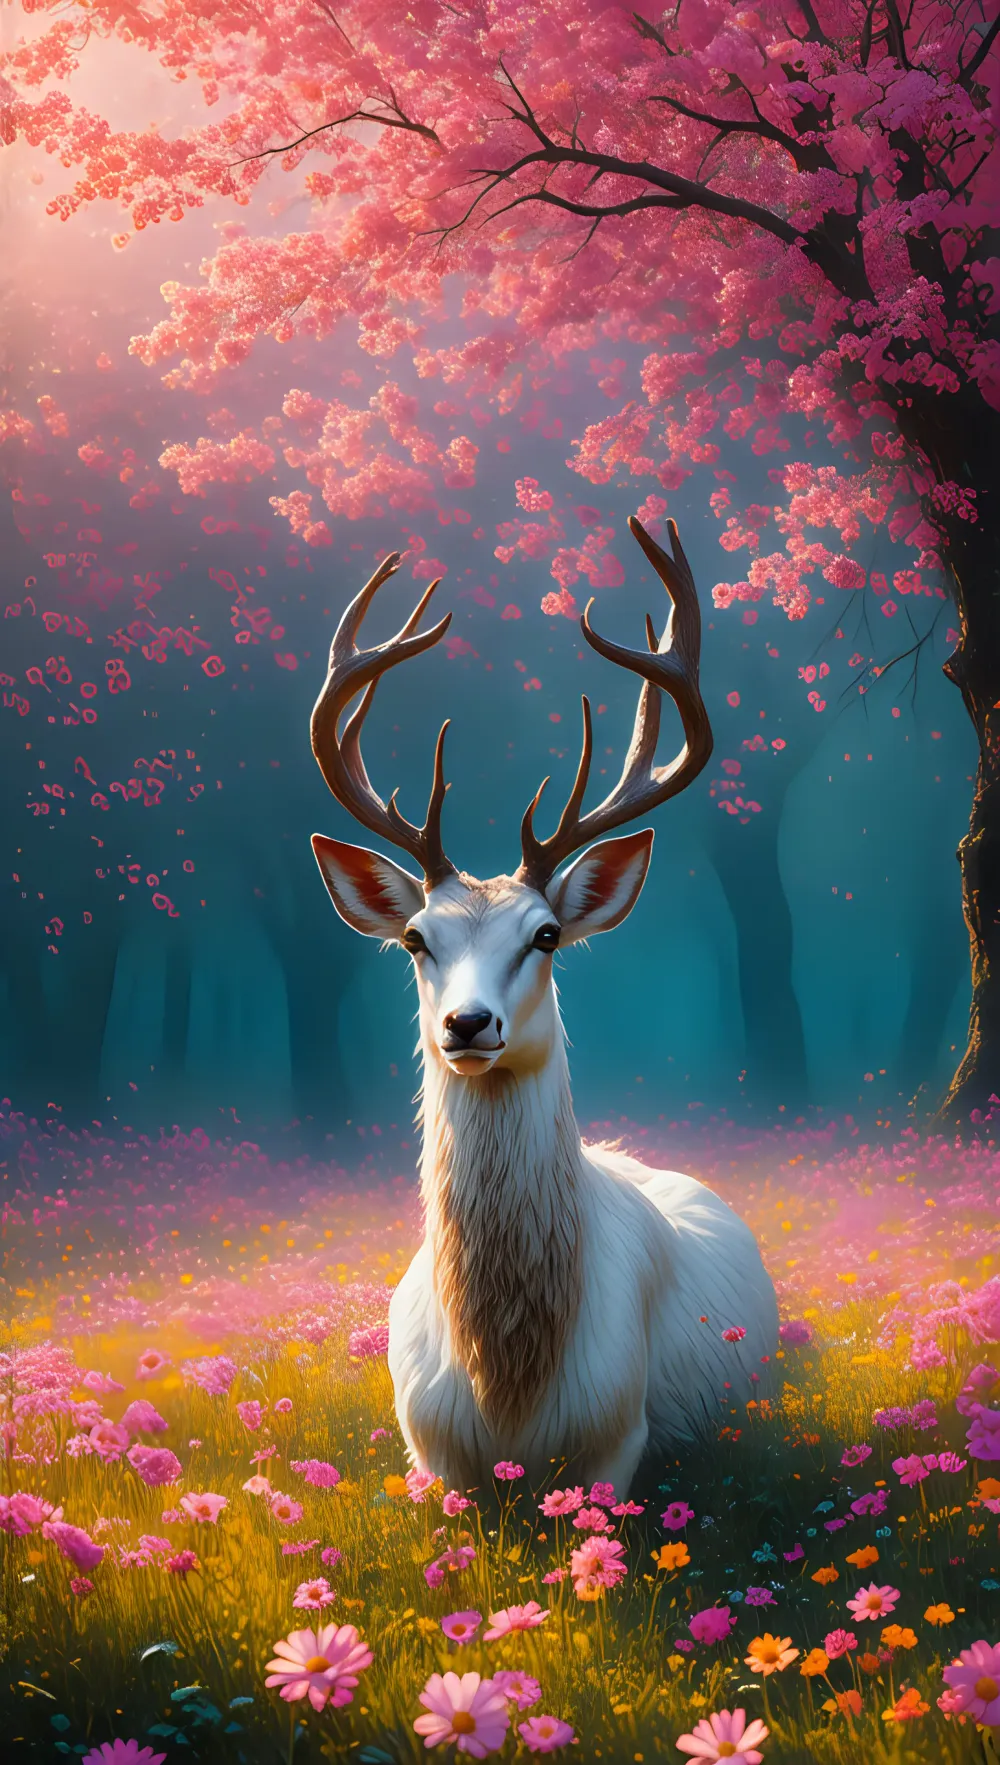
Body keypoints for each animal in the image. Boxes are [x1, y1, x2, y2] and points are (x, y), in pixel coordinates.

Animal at [310, 515, 778, 1500]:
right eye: (415, 938)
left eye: (549, 934)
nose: (468, 1023)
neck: (510, 1388)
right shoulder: (426, 1450)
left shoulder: (618, 1437)